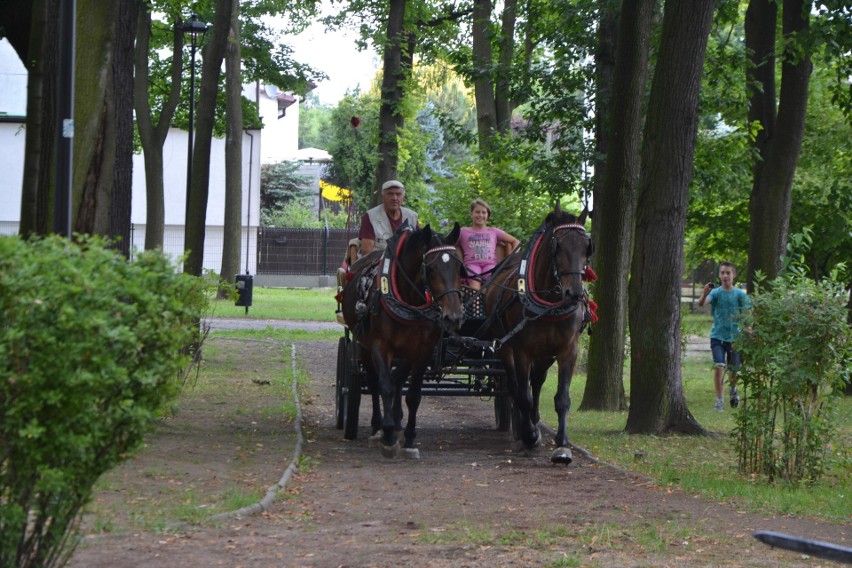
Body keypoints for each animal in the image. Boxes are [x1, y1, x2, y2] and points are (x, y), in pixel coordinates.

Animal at [342, 222, 466, 458]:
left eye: (459, 267)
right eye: (431, 268)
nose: (453, 317)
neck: (409, 300)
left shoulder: (422, 351)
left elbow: (413, 395)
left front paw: (409, 439)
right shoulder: (379, 347)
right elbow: (385, 387)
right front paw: (388, 436)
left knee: (398, 379)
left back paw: (397, 423)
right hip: (363, 345)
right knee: (374, 382)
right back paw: (378, 428)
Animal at [486, 206, 592, 464]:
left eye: (587, 247)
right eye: (558, 246)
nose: (574, 293)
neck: (550, 303)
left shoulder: (568, 350)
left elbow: (562, 398)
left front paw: (562, 446)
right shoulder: (522, 351)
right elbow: (523, 395)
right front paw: (530, 435)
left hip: (545, 354)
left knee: (537, 380)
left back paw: (533, 421)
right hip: (507, 349)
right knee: (516, 387)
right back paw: (525, 431)